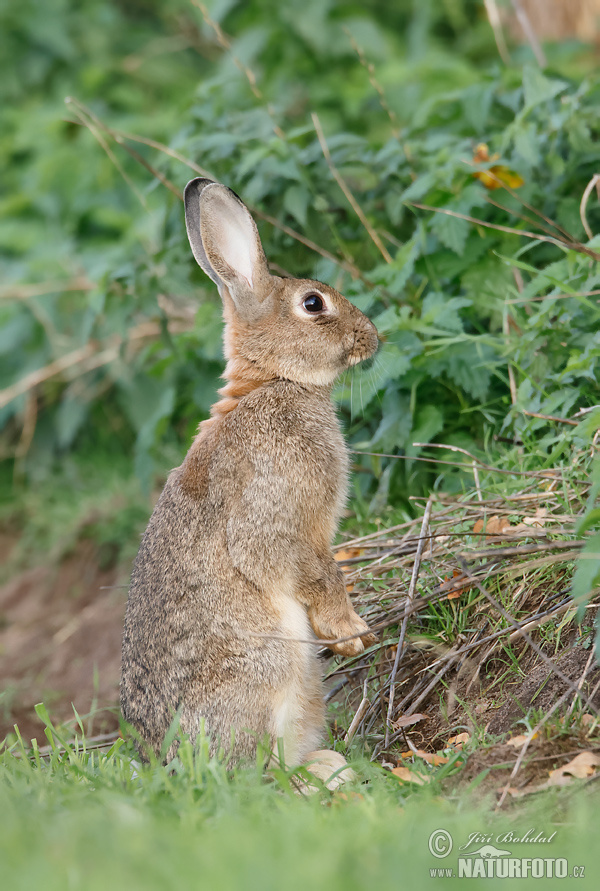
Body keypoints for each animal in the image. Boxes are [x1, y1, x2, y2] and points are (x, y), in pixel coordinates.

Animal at [119, 176, 378, 768]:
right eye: (313, 303)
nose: (371, 337)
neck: (271, 381)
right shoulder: (282, 518)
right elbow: (310, 570)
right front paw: (351, 633)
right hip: (270, 667)